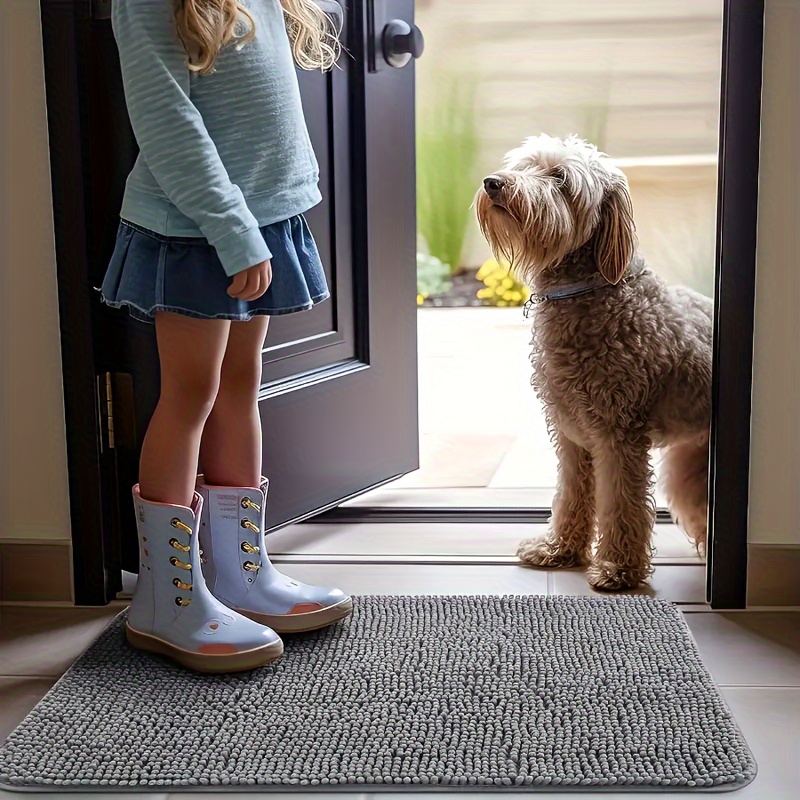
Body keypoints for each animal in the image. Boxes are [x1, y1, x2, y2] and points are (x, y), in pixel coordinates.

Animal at [476, 134, 712, 592]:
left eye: (559, 179)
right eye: (526, 165)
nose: (494, 182)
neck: (588, 291)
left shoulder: (619, 435)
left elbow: (621, 504)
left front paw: (618, 568)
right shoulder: (571, 432)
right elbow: (570, 493)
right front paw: (559, 549)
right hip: (691, 465)